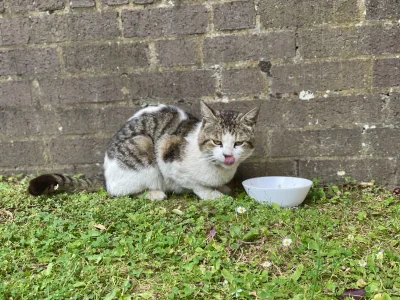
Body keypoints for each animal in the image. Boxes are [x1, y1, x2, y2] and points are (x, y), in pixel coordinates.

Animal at [28, 101, 260, 202]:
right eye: (217, 142)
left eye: (238, 143)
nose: (228, 155)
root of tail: (105, 176)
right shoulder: (166, 152)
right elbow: (194, 184)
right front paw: (211, 194)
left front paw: (220, 188)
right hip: (143, 146)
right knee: (120, 191)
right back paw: (154, 193)